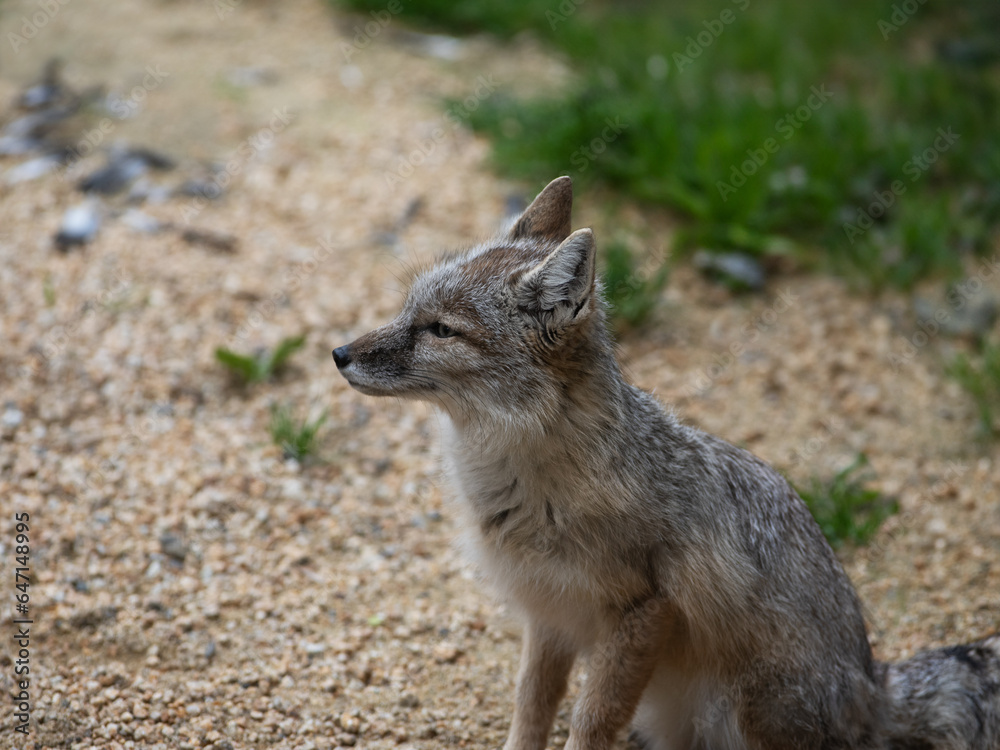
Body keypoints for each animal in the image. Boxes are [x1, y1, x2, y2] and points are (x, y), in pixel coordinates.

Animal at [332, 178, 996, 750]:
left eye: (441, 330)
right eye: (407, 310)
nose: (338, 353)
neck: (521, 483)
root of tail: (874, 684)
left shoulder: (642, 613)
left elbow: (591, 722)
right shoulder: (549, 614)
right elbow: (531, 707)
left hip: (742, 710)